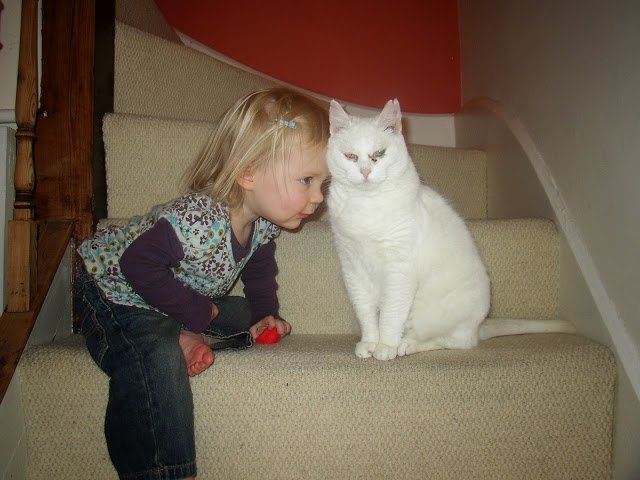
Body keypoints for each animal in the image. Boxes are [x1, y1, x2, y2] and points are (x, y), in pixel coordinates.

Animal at [328, 98, 572, 360]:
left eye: (379, 154)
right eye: (350, 156)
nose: (365, 171)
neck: (365, 206)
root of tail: (479, 326)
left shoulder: (399, 270)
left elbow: (391, 315)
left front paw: (385, 347)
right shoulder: (352, 269)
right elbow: (366, 314)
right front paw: (370, 343)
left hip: (432, 314)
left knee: (454, 341)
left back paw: (406, 345)